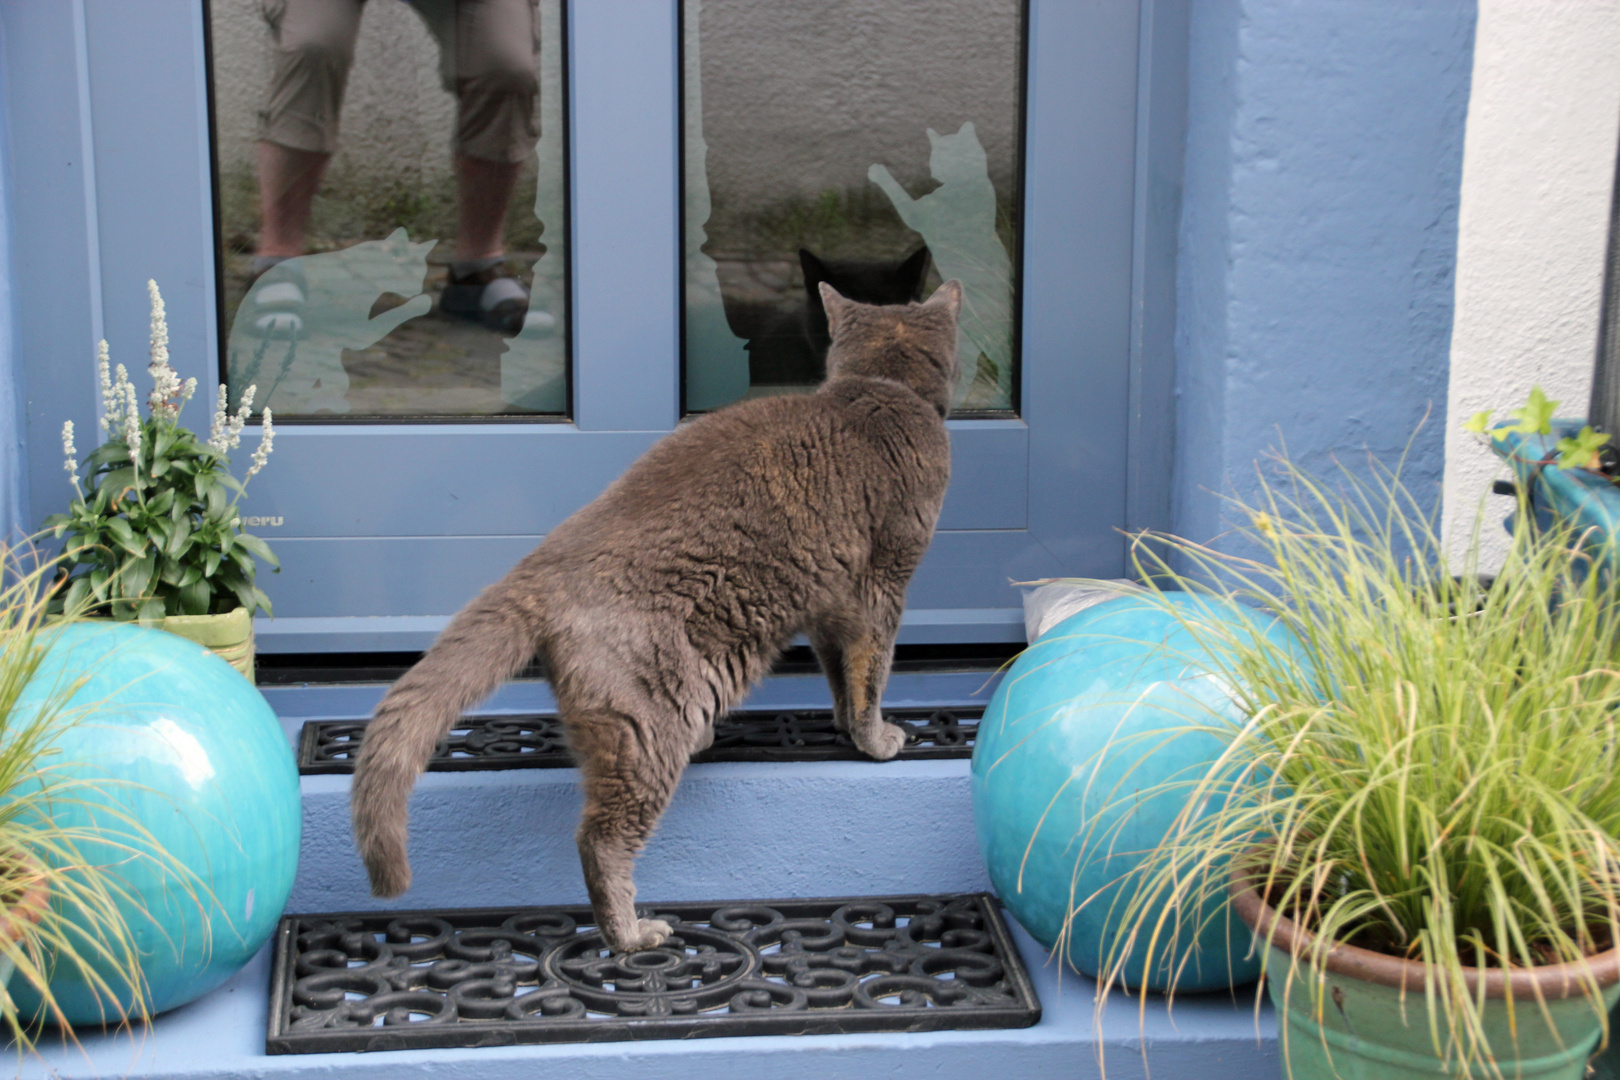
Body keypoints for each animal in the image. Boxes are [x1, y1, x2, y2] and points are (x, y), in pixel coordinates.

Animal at [354, 281, 959, 952]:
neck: (883, 386)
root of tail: (536, 571)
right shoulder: (883, 583)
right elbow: (872, 671)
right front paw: (878, 738)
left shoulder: (831, 601)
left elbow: (840, 673)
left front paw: (844, 723)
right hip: (647, 730)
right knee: (600, 839)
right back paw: (632, 933)